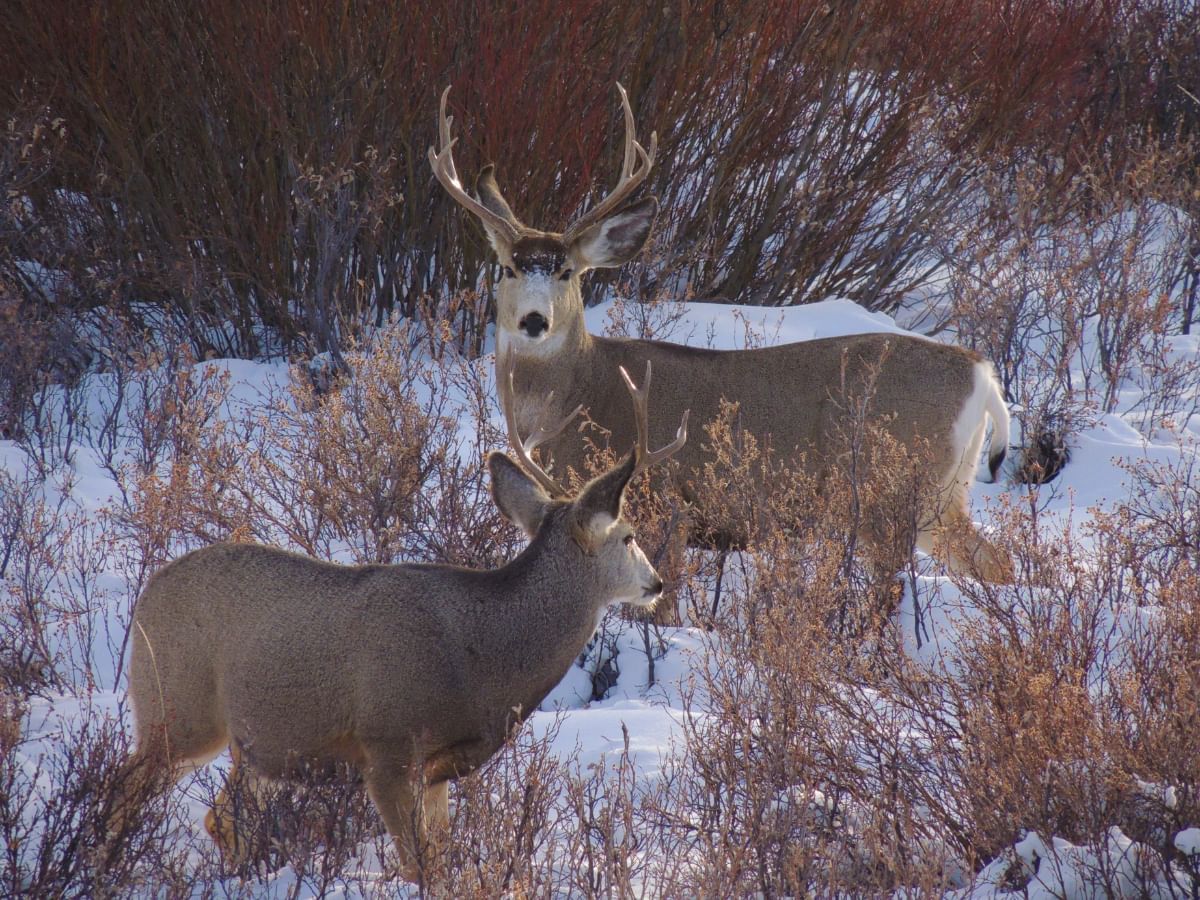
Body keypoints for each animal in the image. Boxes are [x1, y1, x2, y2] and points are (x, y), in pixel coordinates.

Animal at [108, 357, 691, 883]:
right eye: (629, 536)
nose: (658, 583)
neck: (478, 659)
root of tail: (147, 594)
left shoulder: (436, 770)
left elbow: (443, 861)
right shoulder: (387, 746)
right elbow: (420, 870)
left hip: (258, 743)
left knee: (222, 819)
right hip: (176, 709)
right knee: (123, 793)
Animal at [429, 86, 1012, 585]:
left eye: (568, 272)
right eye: (507, 267)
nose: (534, 320)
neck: (579, 393)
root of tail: (981, 372)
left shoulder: (665, 506)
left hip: (892, 491)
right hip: (945, 495)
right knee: (1000, 563)